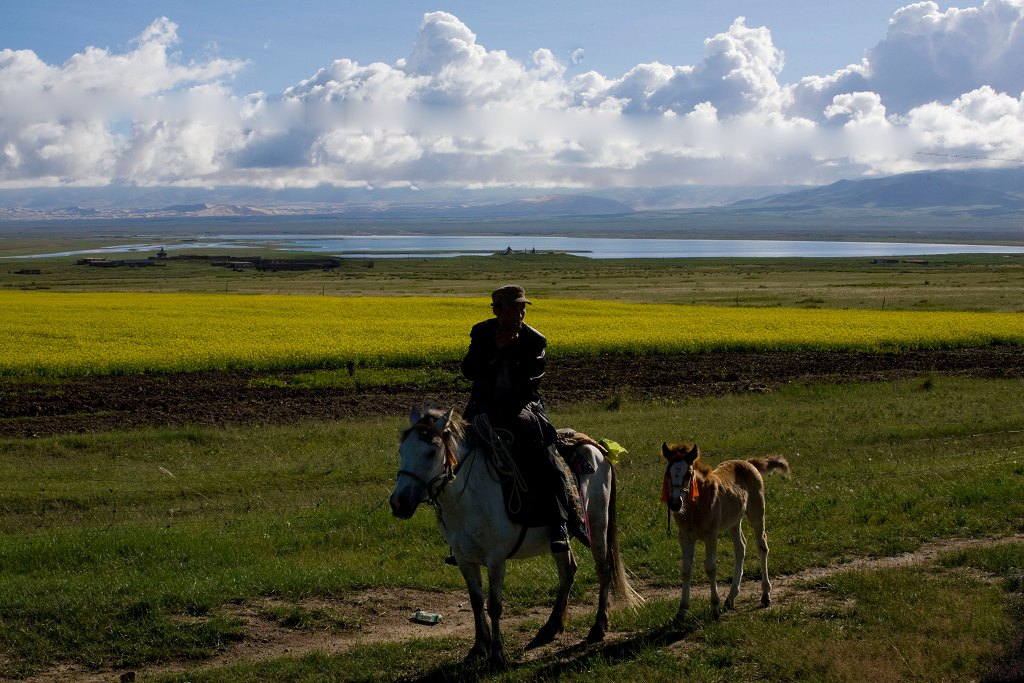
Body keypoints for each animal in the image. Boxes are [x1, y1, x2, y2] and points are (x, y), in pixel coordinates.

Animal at [389, 405, 638, 667]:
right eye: (402, 450)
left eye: (431, 453)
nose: (398, 503)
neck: (470, 497)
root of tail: (597, 448)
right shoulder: (464, 559)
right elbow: (476, 601)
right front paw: (478, 647)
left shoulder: (496, 559)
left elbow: (495, 605)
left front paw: (497, 654)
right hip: (560, 542)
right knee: (568, 572)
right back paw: (549, 629)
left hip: (599, 525)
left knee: (603, 570)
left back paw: (598, 628)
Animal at [659, 440, 786, 622]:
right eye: (667, 474)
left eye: (688, 474)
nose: (675, 503)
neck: (695, 507)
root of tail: (748, 462)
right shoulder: (685, 537)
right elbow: (685, 571)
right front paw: (681, 610)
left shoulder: (711, 535)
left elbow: (710, 568)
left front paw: (714, 608)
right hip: (734, 521)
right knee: (740, 548)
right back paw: (731, 597)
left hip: (756, 512)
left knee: (762, 546)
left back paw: (765, 595)